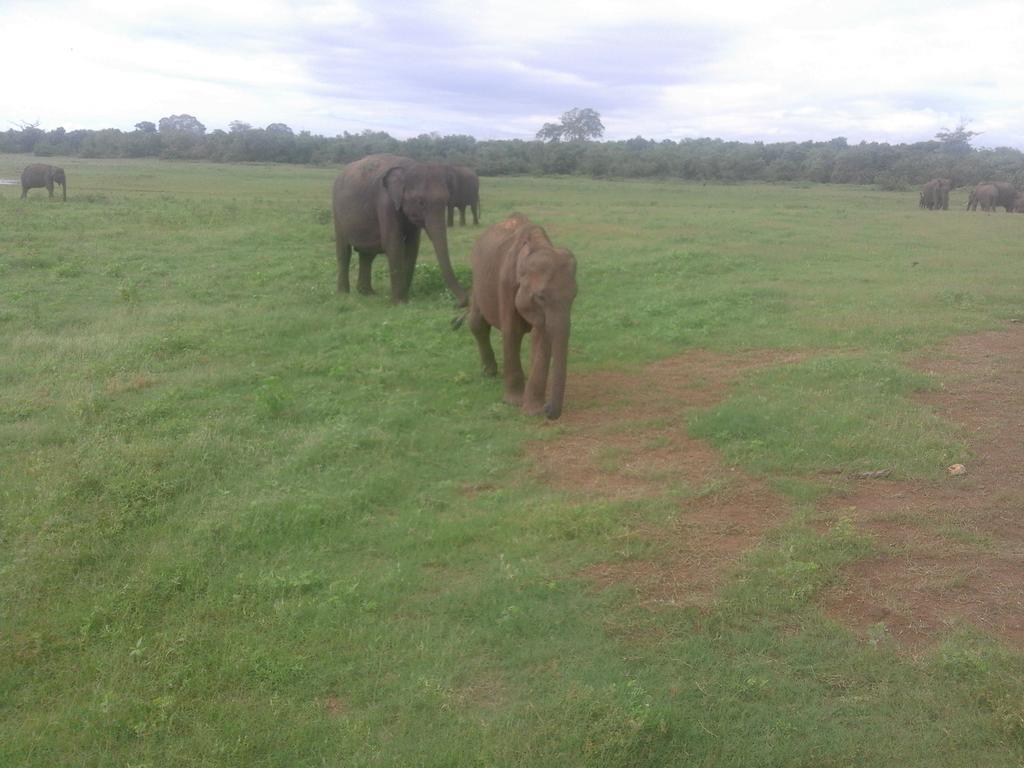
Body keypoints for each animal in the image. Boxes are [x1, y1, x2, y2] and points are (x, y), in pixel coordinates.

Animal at [331, 152, 468, 303]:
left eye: (446, 200)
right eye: (420, 202)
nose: (463, 302)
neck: (407, 169)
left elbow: (412, 246)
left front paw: (405, 299)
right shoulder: (386, 202)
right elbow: (393, 243)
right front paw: (400, 302)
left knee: (367, 254)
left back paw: (367, 293)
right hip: (337, 213)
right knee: (344, 252)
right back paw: (343, 294)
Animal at [468, 215, 581, 421]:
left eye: (574, 296)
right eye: (541, 297)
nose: (548, 409)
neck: (537, 245)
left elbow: (542, 337)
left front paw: (533, 411)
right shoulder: (506, 284)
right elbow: (511, 333)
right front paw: (513, 402)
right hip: (477, 279)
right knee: (478, 323)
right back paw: (489, 373)